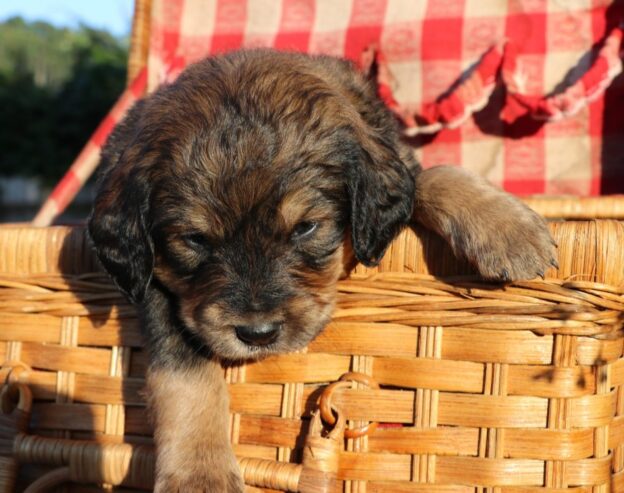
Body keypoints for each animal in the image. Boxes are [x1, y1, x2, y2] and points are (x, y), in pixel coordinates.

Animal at [86, 48, 556, 490]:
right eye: (196, 239)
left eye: (305, 227)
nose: (257, 334)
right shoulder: (157, 292)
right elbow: (186, 375)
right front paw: (200, 476)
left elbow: (431, 177)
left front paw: (507, 229)